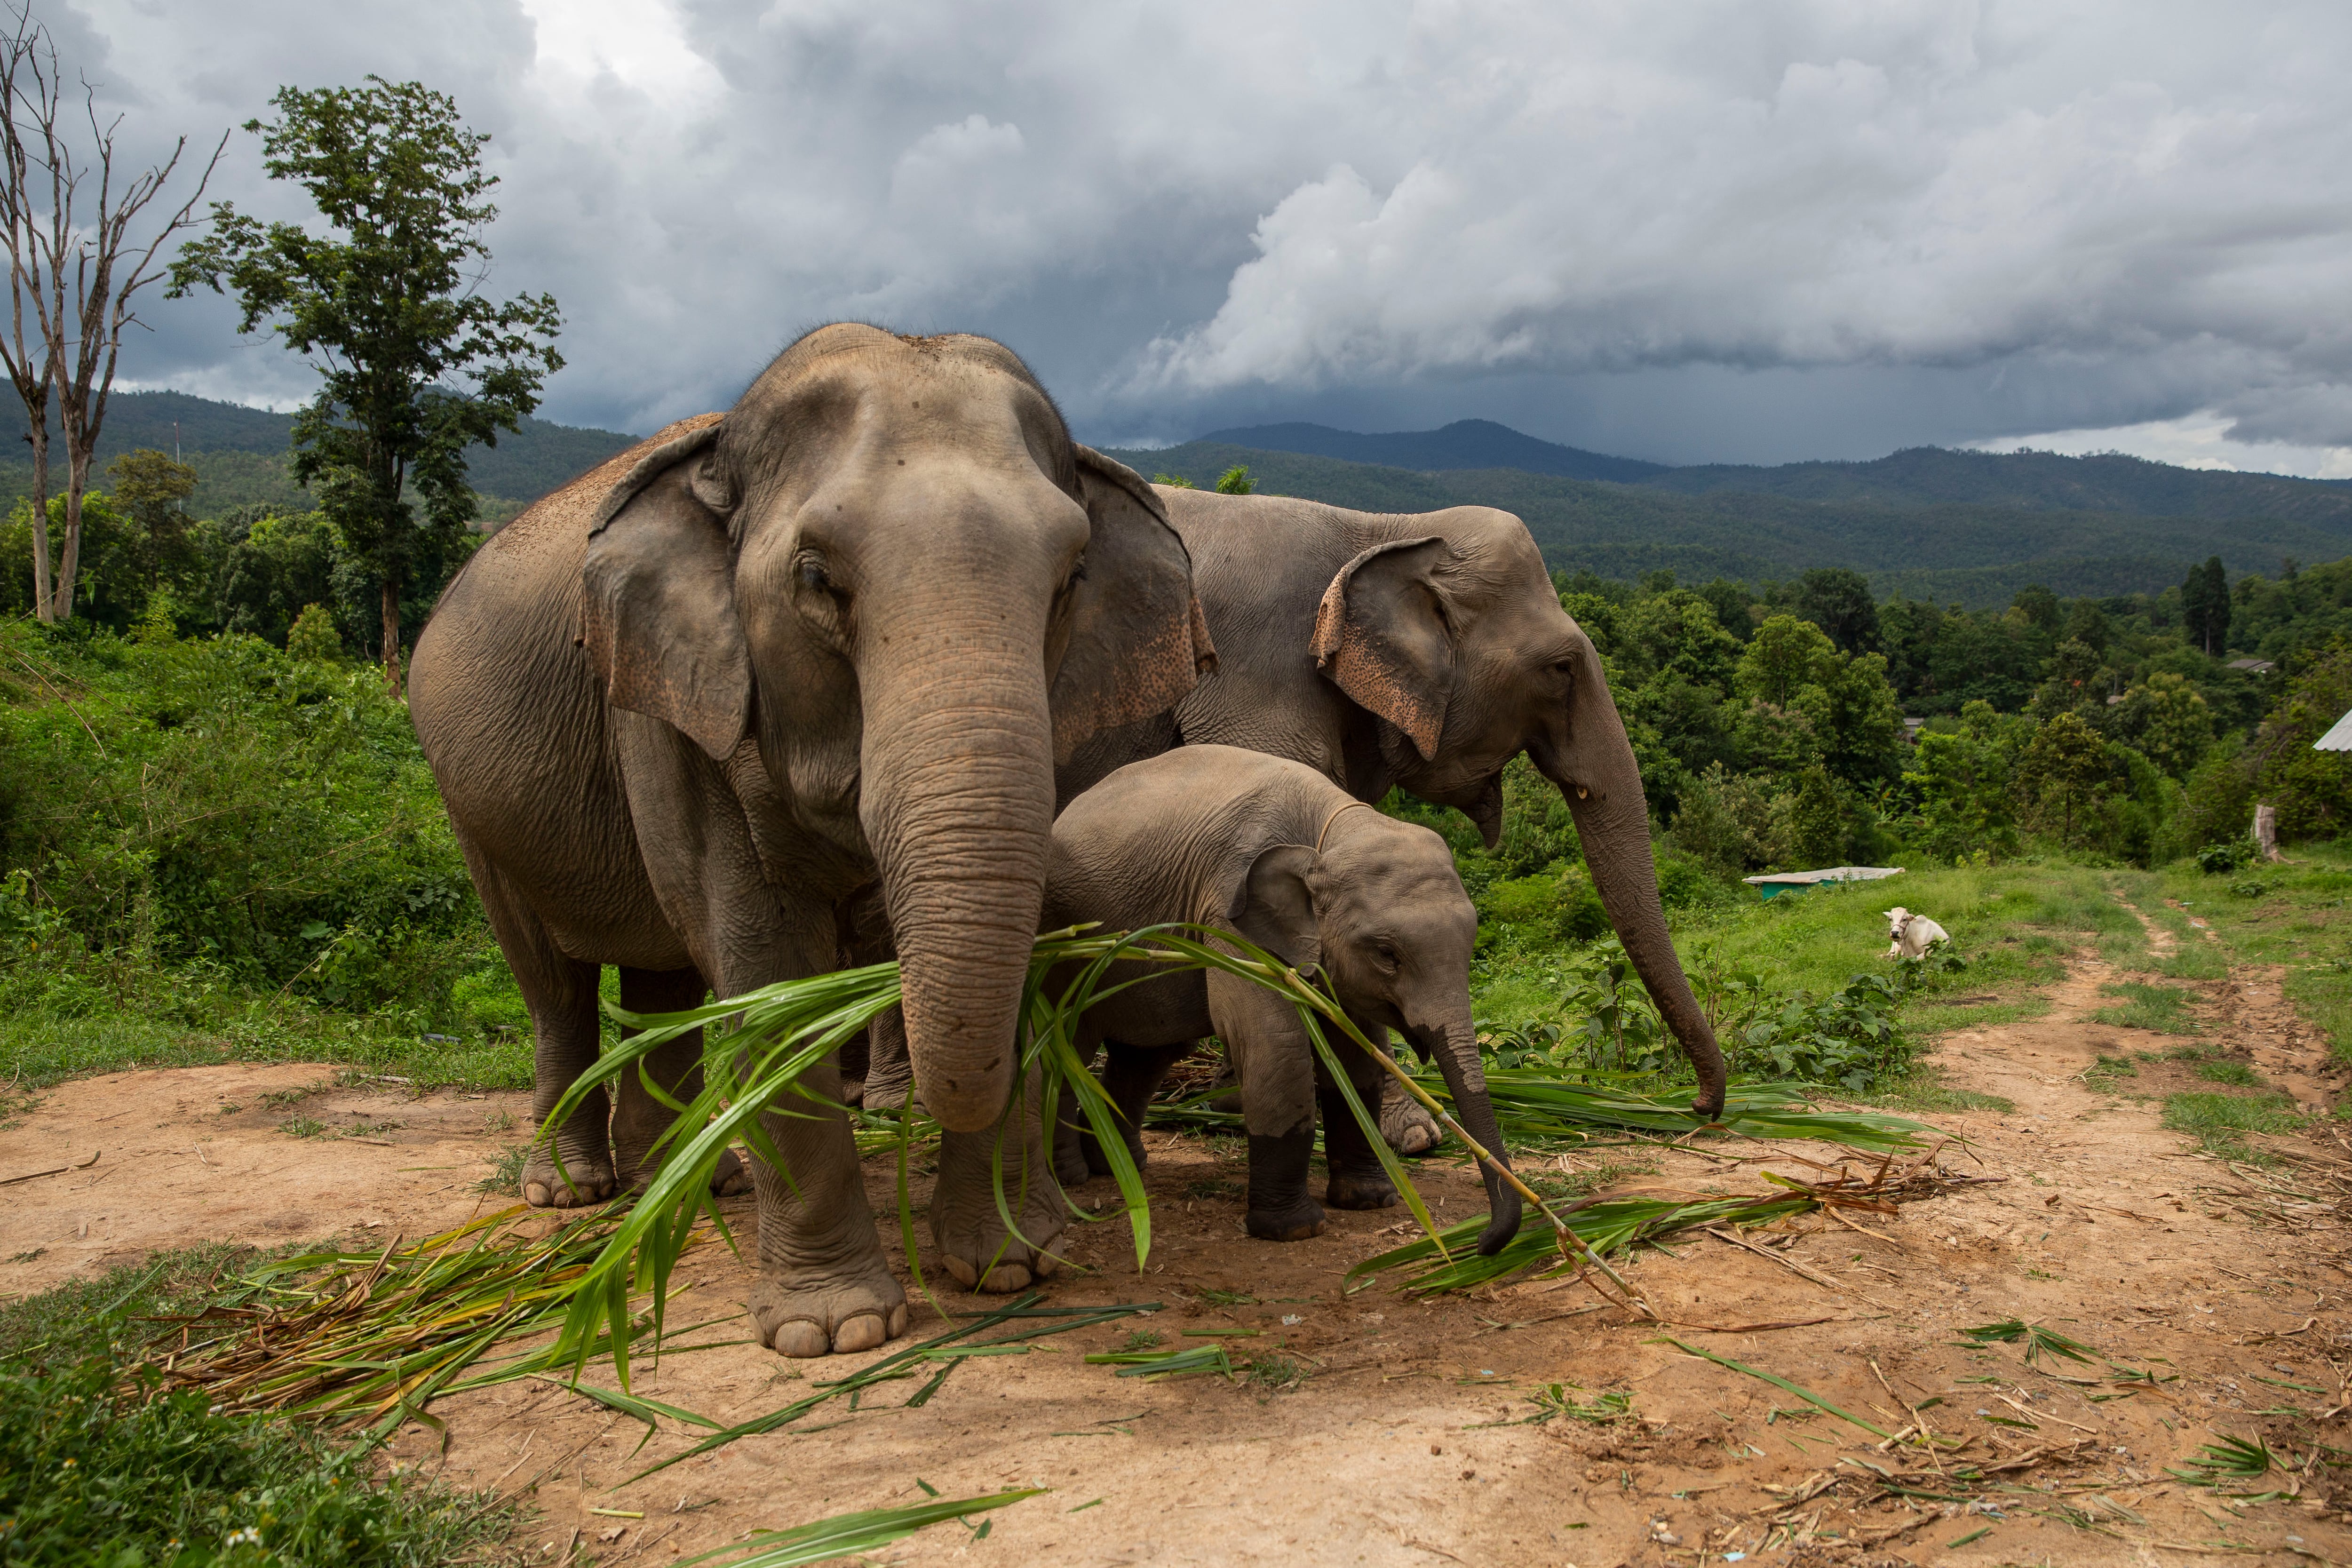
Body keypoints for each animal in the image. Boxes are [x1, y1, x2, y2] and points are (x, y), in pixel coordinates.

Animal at [407, 325, 1214, 1356]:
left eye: (1071, 578)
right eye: (817, 580)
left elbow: (1028, 938)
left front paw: (1010, 1265)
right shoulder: (681, 710)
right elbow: (769, 972)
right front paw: (835, 1330)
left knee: (665, 985)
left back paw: (692, 1183)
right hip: (468, 804)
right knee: (553, 982)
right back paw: (574, 1190)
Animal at [1042, 745, 1522, 1255]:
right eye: (1387, 955)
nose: (1481, 1243)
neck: (1329, 831)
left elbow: (1355, 1056)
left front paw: (1370, 1201)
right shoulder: (1228, 913)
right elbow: (1274, 1043)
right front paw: (1295, 1230)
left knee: (1147, 1055)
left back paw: (1121, 1166)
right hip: (1064, 949)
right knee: (1068, 1045)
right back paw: (1072, 1176)